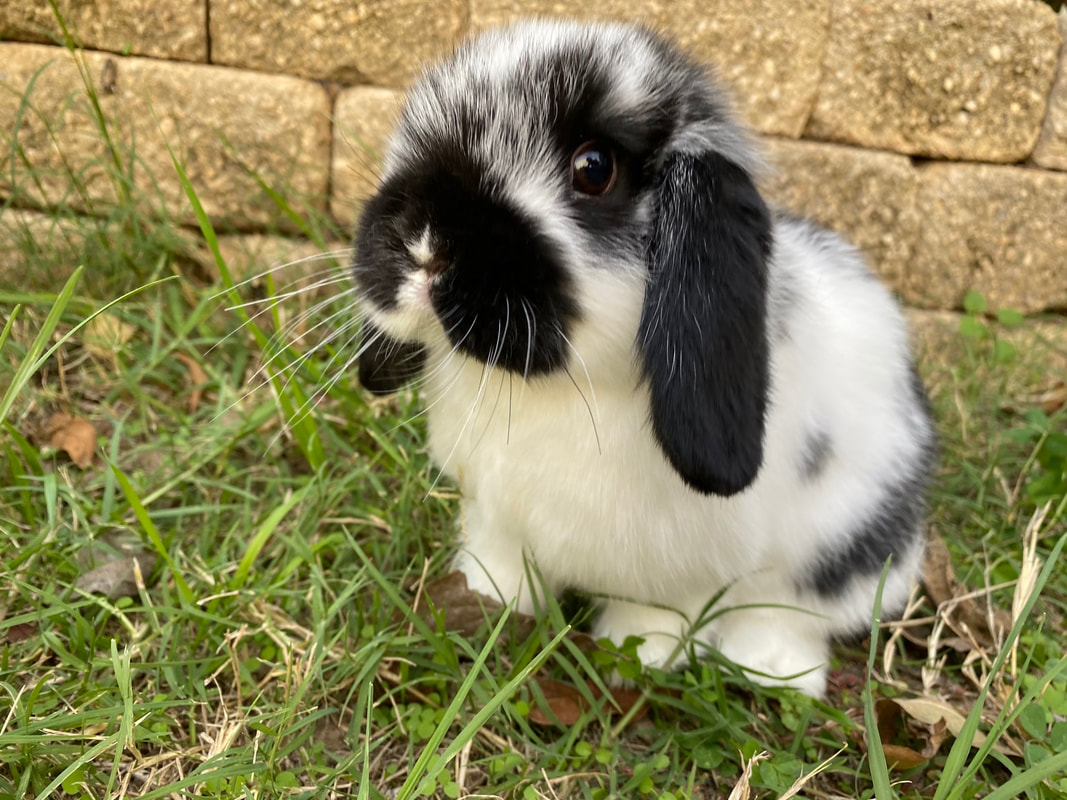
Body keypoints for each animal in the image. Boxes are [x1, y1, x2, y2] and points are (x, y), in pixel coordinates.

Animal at [351, 19, 937, 697]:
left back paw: (771, 670)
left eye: (594, 168)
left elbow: (657, 613)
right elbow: (499, 563)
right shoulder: (494, 516)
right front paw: (483, 602)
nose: (424, 244)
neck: (557, 389)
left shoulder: (680, 574)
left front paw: (634, 657)